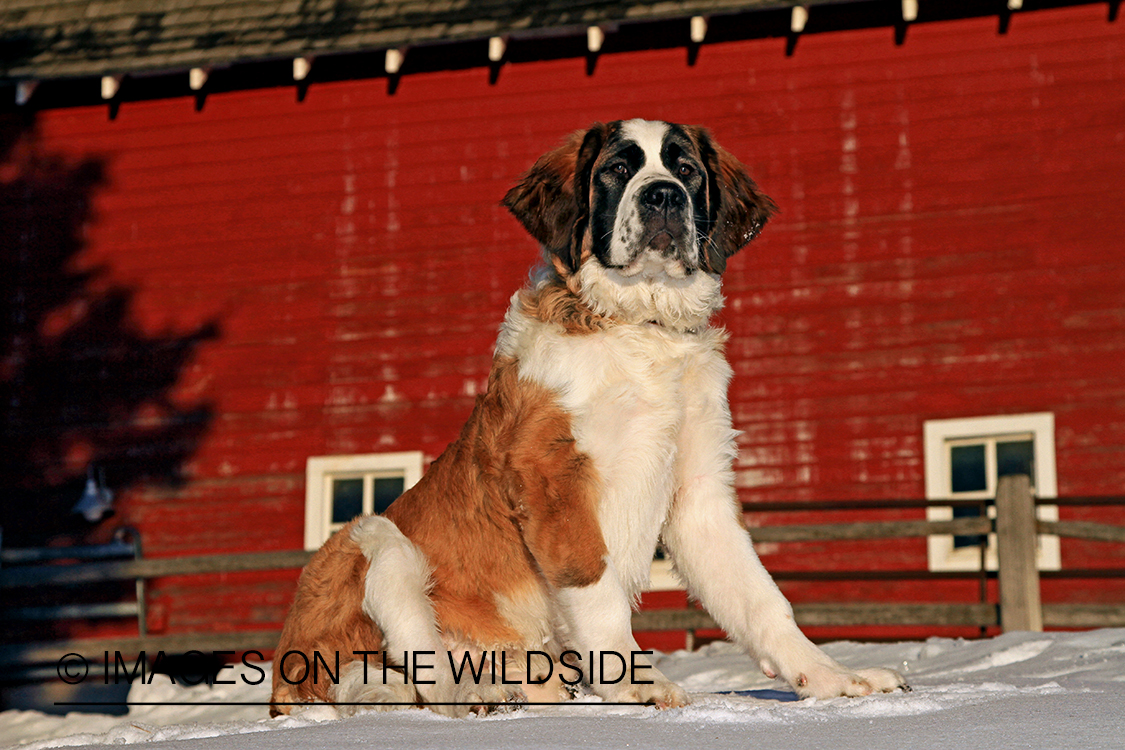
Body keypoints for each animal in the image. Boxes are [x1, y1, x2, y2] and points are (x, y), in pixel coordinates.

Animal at [267, 120, 909, 719]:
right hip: (372, 540)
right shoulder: (553, 478)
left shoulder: (698, 491)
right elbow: (593, 582)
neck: (636, 324)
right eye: (617, 170)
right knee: (418, 683)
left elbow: (760, 597)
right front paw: (635, 684)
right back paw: (481, 691)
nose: (663, 196)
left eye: (687, 170)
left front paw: (833, 679)